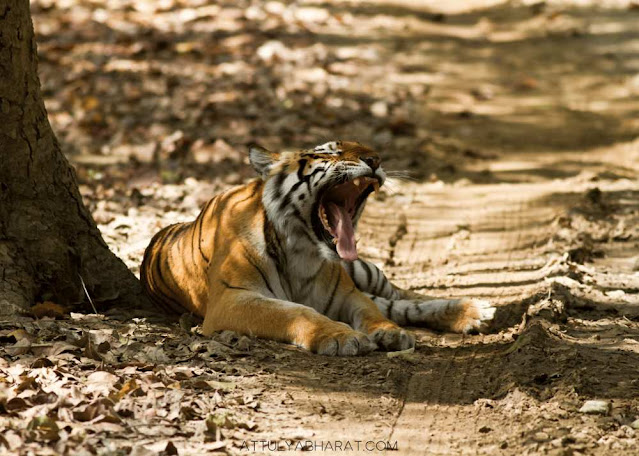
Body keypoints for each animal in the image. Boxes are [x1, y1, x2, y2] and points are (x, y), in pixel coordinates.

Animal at [142, 141, 498, 354]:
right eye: (330, 153)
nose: (375, 159)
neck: (302, 251)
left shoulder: (348, 292)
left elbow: (374, 313)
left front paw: (390, 333)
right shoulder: (233, 299)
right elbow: (296, 312)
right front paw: (342, 337)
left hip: (362, 270)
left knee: (401, 296)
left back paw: (474, 310)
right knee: (393, 302)